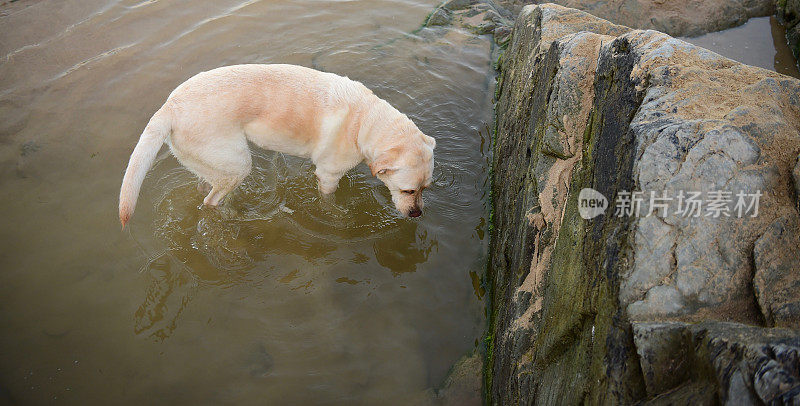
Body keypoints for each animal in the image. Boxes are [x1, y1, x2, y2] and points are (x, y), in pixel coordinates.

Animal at [117, 65, 438, 227]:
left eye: (425, 189)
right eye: (408, 191)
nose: (417, 214)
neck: (365, 120)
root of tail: (168, 107)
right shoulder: (328, 175)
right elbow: (328, 202)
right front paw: (336, 215)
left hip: (212, 162)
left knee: (203, 188)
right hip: (237, 163)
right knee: (210, 201)